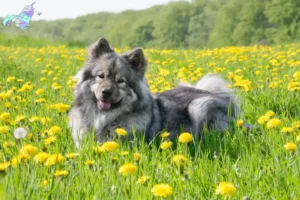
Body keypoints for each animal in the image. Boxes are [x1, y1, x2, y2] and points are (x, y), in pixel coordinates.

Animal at [68, 37, 239, 148]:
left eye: (121, 81)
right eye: (101, 76)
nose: (106, 92)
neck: (103, 118)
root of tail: (218, 96)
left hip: (198, 107)